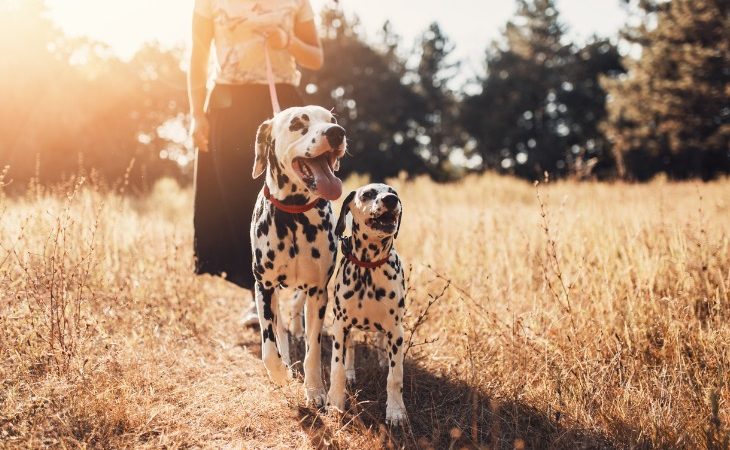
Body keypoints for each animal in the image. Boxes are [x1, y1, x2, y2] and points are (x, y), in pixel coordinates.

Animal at [250, 104, 346, 404]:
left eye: (332, 119)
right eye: (297, 124)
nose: (337, 132)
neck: (293, 216)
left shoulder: (318, 292)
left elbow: (312, 351)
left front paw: (315, 390)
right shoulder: (264, 286)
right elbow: (269, 347)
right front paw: (280, 373)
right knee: (278, 327)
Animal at [328, 183, 406, 426]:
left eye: (394, 193)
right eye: (368, 194)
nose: (391, 200)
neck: (369, 267)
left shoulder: (396, 330)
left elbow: (395, 377)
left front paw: (396, 411)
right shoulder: (340, 326)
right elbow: (337, 368)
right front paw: (335, 403)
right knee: (350, 349)